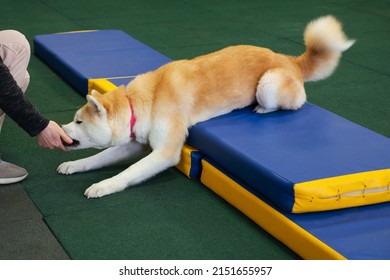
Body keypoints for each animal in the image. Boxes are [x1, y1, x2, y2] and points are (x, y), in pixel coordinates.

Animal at [57, 15, 354, 198]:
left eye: (79, 121)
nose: (61, 128)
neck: (143, 101)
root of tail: (289, 58)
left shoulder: (165, 152)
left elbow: (129, 171)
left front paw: (103, 186)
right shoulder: (137, 143)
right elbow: (99, 157)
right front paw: (75, 165)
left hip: (268, 86)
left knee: (291, 104)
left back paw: (261, 109)